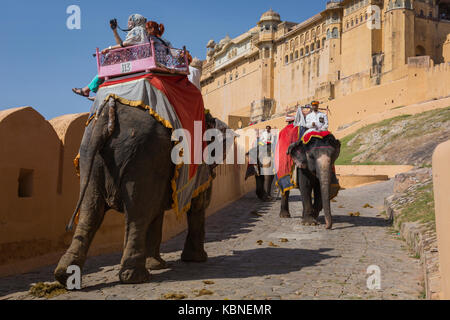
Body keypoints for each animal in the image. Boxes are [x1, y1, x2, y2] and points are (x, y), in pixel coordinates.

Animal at [54, 98, 227, 284]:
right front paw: (196, 260)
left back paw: (64, 275)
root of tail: (107, 115)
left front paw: (157, 265)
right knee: (137, 214)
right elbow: (198, 204)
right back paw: (135, 277)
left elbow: (158, 211)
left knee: (91, 213)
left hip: (91, 159)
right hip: (141, 157)